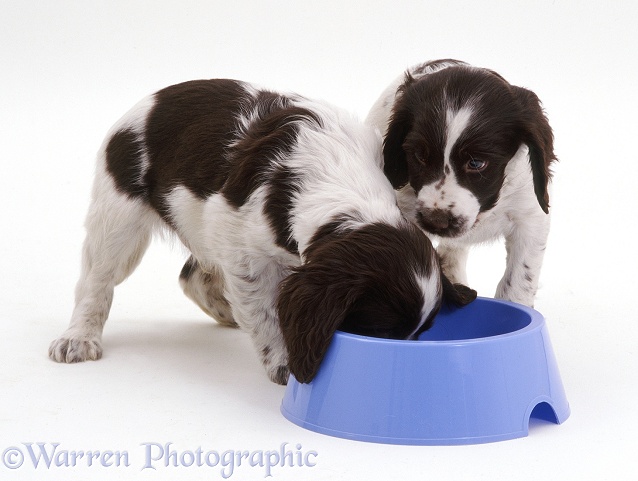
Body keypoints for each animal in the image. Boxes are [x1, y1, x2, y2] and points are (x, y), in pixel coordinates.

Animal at [48, 80, 476, 384]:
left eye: (422, 333)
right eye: (379, 332)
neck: (343, 187)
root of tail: (148, 101)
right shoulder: (240, 247)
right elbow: (266, 309)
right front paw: (285, 362)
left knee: (192, 275)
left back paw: (226, 313)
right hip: (118, 217)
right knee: (96, 281)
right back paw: (78, 338)